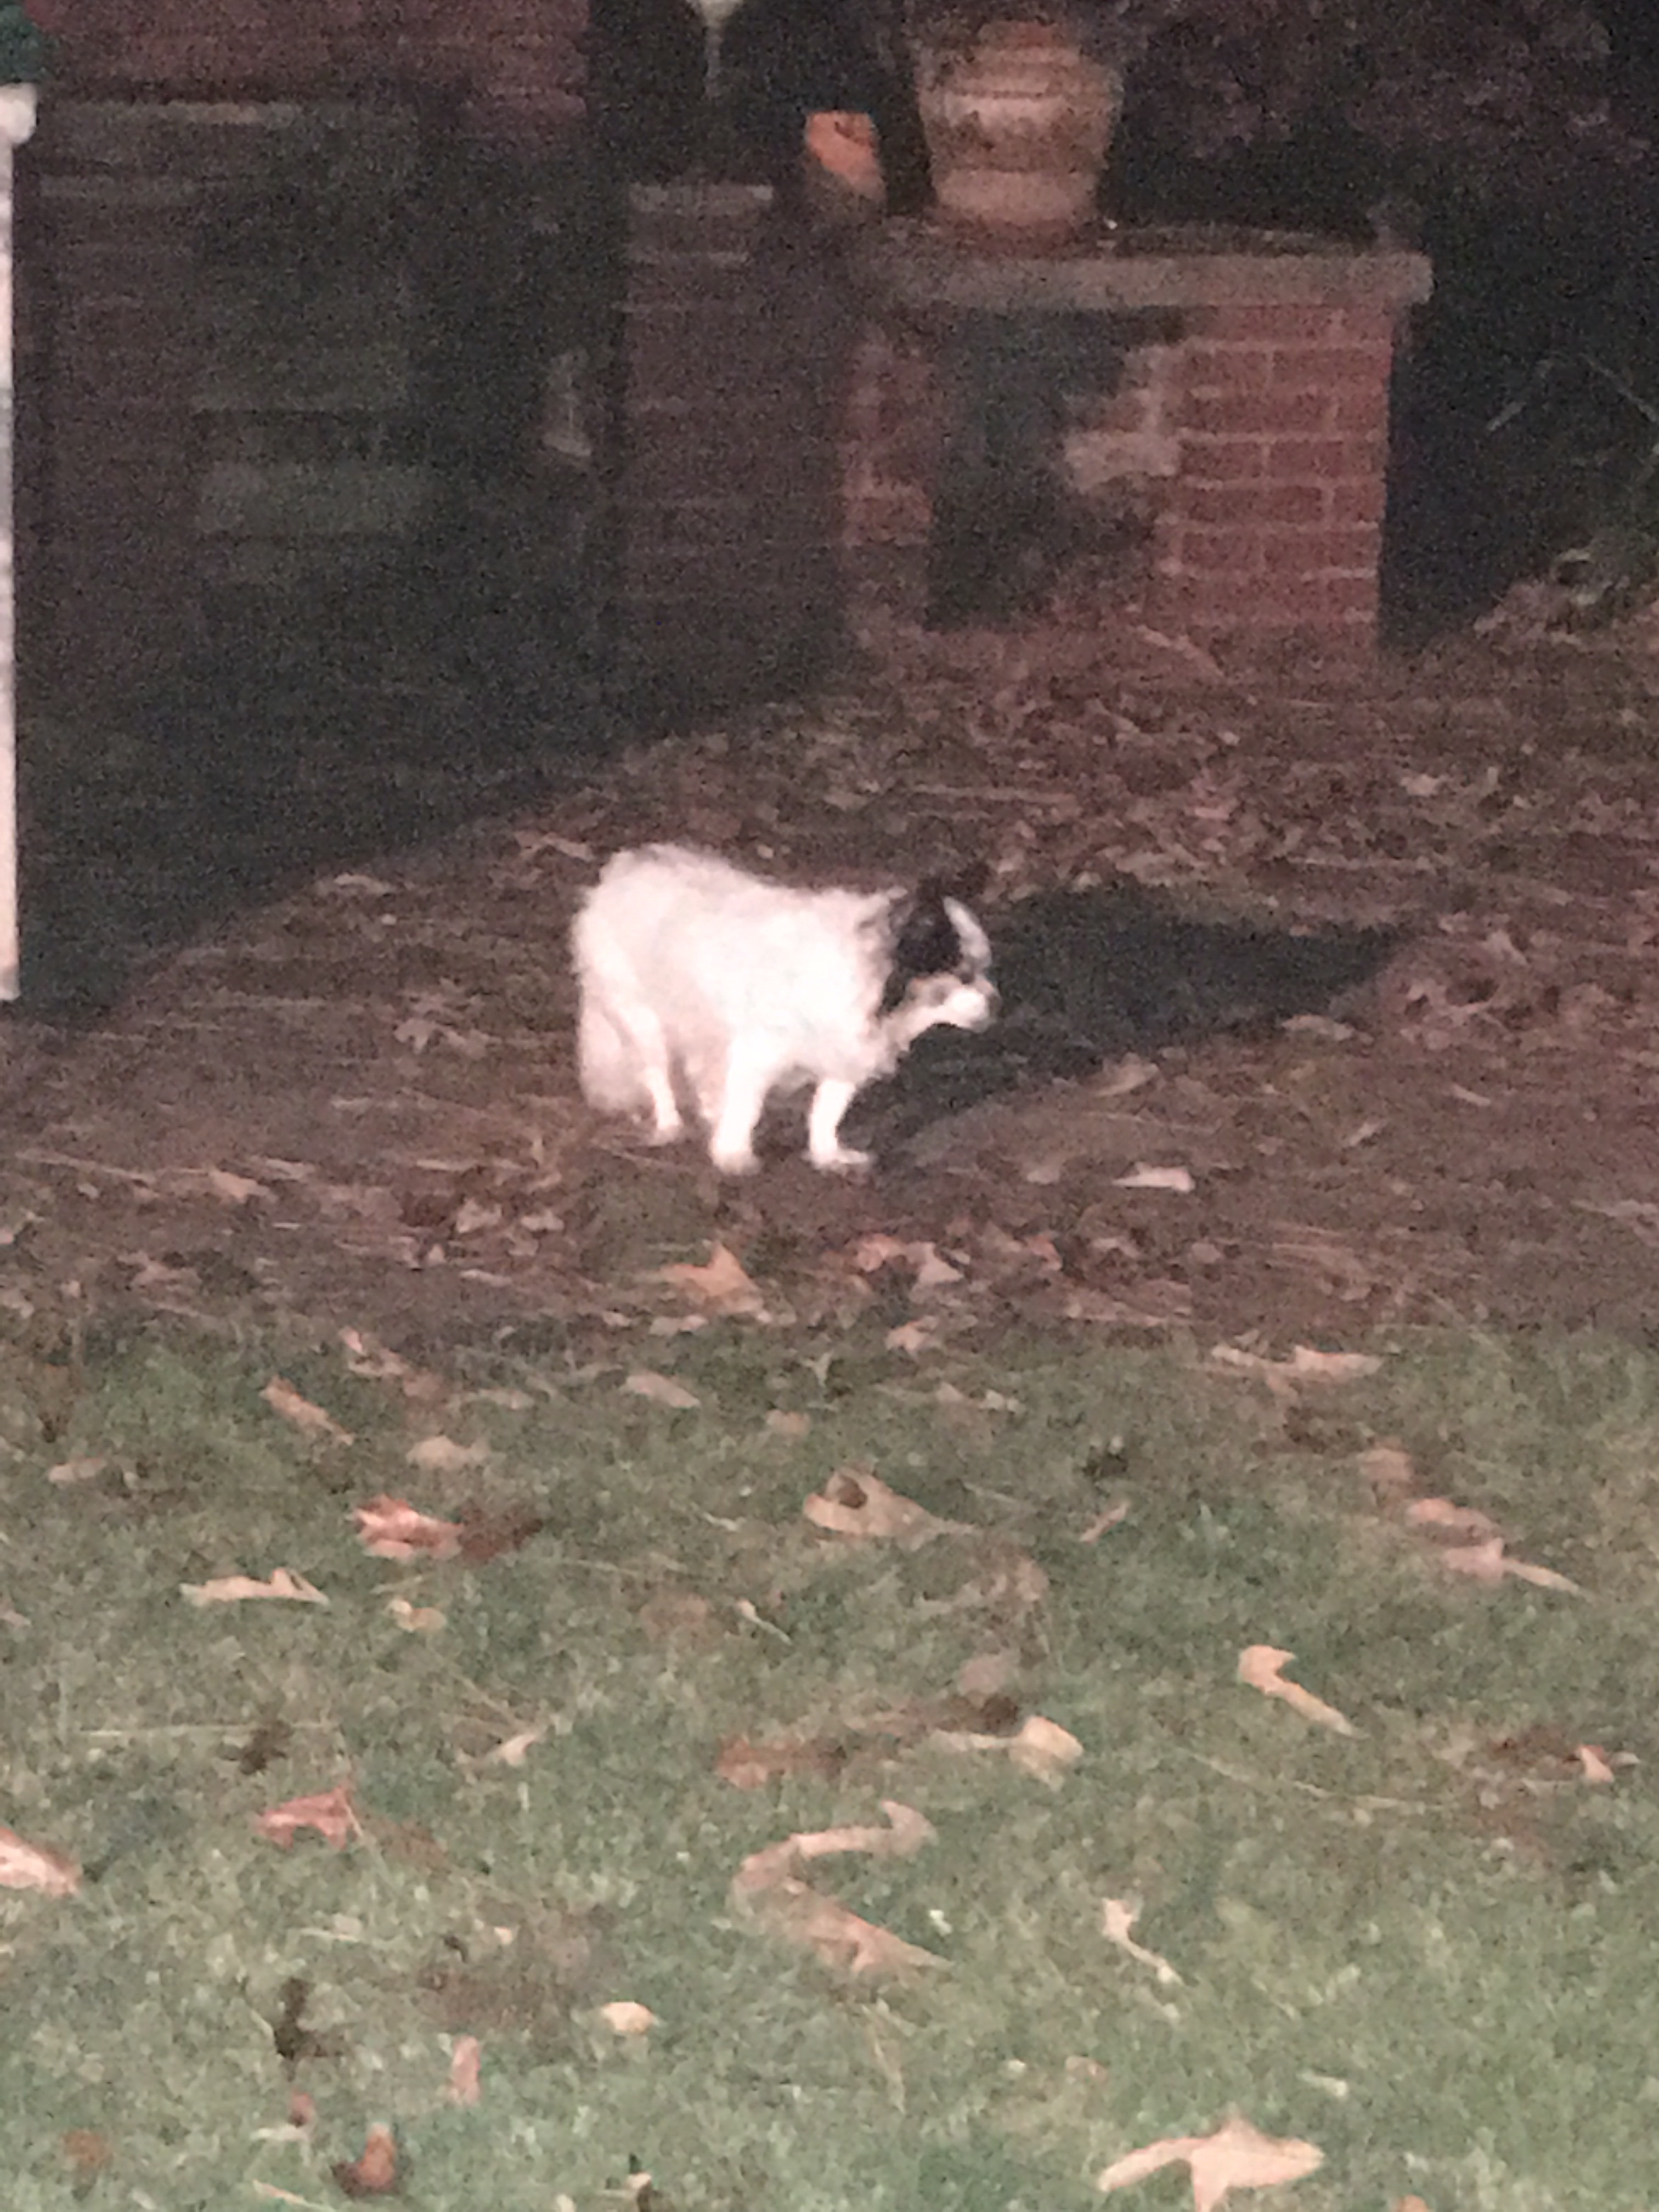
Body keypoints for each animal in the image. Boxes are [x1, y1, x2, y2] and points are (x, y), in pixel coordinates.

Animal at [571, 843, 997, 1175]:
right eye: (963, 976)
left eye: (984, 969)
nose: (996, 1001)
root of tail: (616, 876)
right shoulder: (758, 1054)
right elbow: (746, 1107)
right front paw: (732, 1155)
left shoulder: (843, 1059)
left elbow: (826, 1113)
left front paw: (829, 1156)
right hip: (643, 1020)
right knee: (657, 1074)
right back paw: (670, 1125)